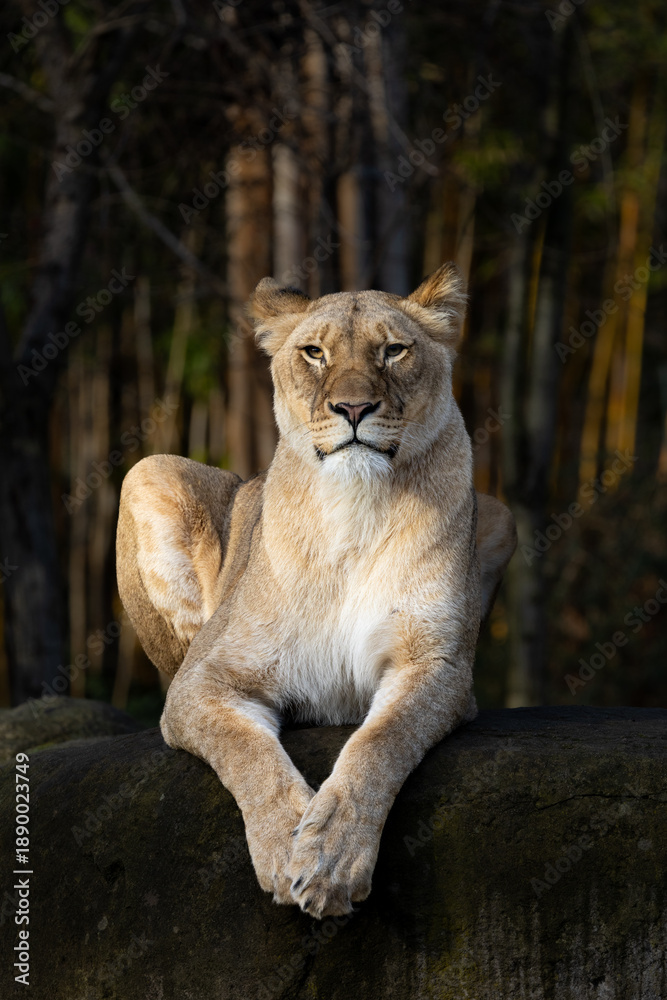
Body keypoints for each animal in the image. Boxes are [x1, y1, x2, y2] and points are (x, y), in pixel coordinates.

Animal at [116, 262, 517, 920]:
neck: (354, 507)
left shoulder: (437, 665)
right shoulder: (202, 682)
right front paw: (287, 846)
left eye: (394, 349)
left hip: (501, 514)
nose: (353, 407)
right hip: (148, 472)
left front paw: (330, 857)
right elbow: (247, 751)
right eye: (314, 352)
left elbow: (381, 741)